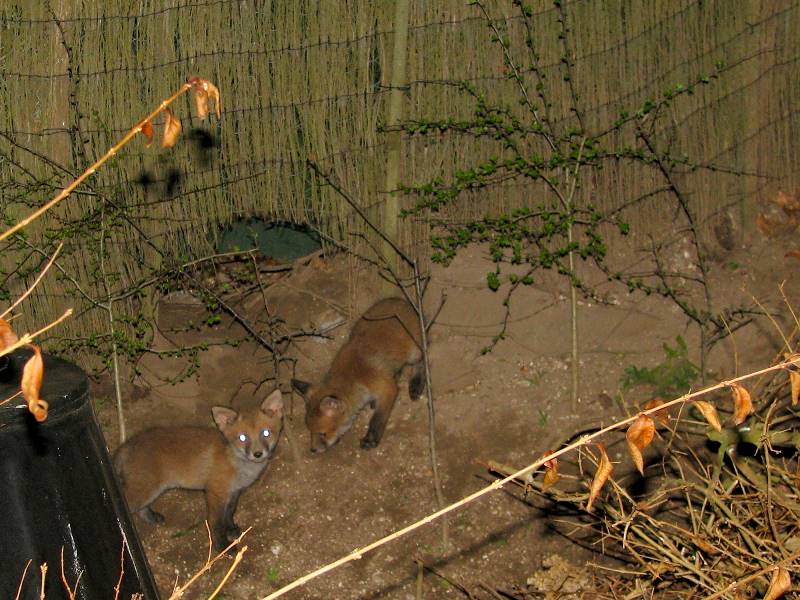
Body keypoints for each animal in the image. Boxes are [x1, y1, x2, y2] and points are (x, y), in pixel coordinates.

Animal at [113, 389, 284, 552]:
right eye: (243, 437)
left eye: (266, 433)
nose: (257, 454)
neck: (237, 463)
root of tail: (126, 445)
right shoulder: (215, 492)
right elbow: (216, 523)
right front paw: (222, 546)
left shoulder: (233, 492)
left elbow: (229, 513)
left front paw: (231, 529)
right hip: (145, 491)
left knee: (141, 509)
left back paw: (152, 518)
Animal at [291, 297, 425, 452]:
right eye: (310, 431)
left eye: (322, 433)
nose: (313, 450)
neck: (354, 378)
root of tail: (401, 300)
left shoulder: (386, 388)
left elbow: (377, 419)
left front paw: (370, 439)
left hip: (415, 353)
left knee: (420, 363)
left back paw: (416, 384)